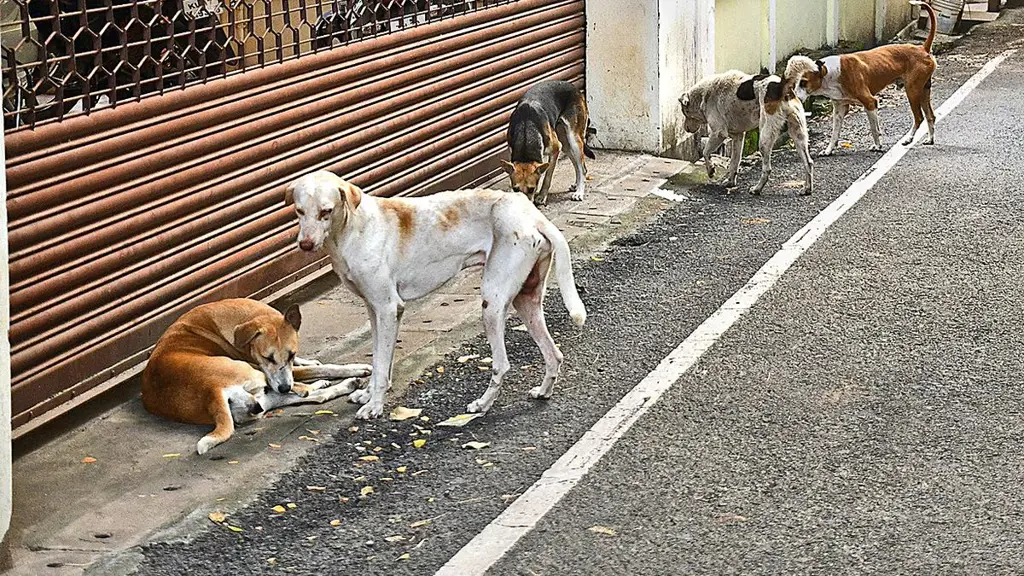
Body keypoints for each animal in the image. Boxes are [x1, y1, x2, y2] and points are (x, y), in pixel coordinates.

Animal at [140, 295, 372, 453]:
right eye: (267, 357)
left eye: (291, 353)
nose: (284, 387)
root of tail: (210, 391)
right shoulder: (264, 369)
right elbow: (321, 369)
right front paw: (357, 367)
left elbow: (304, 365)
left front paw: (308, 361)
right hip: (253, 376)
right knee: (307, 391)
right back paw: (326, 384)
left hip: (258, 400)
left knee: (313, 397)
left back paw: (342, 386)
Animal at [288, 169, 589, 416]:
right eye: (299, 211)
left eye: (326, 211)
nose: (305, 245)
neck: (353, 229)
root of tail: (533, 216)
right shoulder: (376, 312)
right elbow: (378, 360)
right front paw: (367, 394)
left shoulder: (387, 308)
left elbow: (382, 366)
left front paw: (374, 406)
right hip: (526, 301)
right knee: (553, 354)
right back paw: (543, 392)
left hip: (492, 305)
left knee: (502, 365)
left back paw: (482, 405)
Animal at [679, 68, 815, 194]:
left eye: (684, 113)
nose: (686, 128)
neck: (704, 95)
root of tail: (781, 86)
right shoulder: (738, 136)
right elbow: (734, 162)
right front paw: (730, 182)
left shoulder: (718, 133)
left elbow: (706, 152)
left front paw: (711, 170)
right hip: (798, 133)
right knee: (808, 162)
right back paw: (807, 189)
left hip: (765, 137)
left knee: (767, 169)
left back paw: (757, 189)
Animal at [786, 0, 937, 154]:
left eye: (803, 83)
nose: (793, 98)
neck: (829, 73)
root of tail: (922, 48)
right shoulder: (839, 108)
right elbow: (835, 134)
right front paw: (828, 150)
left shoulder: (870, 102)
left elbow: (874, 129)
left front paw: (877, 146)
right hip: (923, 90)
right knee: (930, 116)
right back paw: (929, 139)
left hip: (912, 91)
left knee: (919, 117)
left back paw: (909, 138)